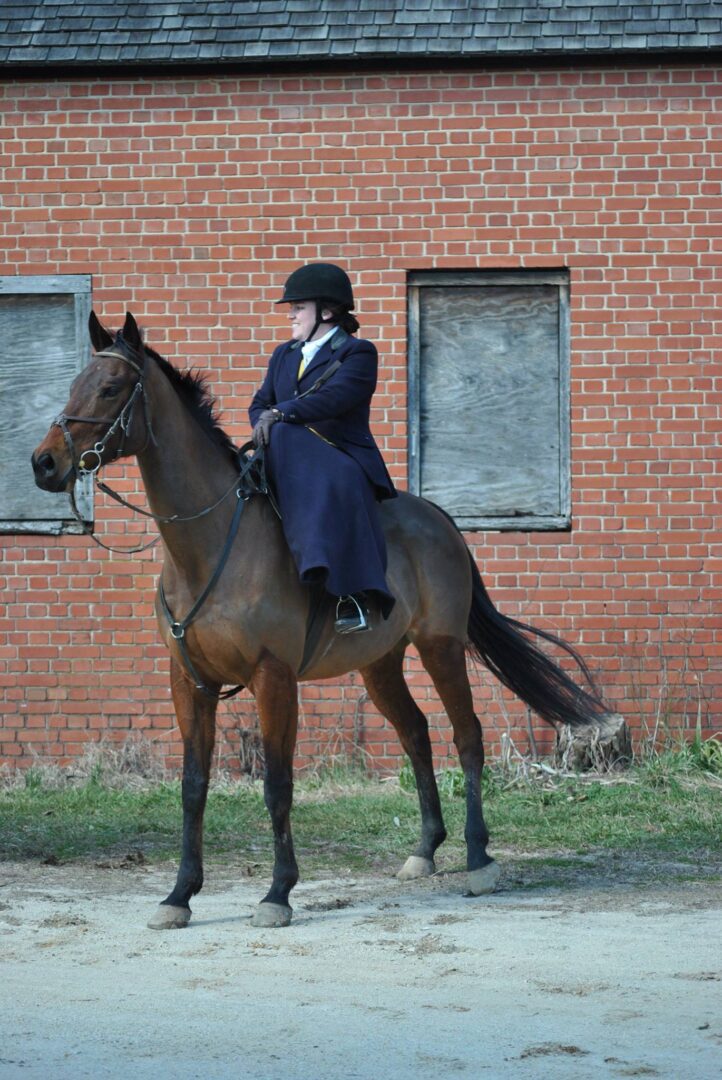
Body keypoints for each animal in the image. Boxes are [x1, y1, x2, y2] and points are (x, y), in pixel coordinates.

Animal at [33, 311, 608, 928]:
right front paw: (179, 894)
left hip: (441, 647)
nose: (44, 463)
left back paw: (479, 859)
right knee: (415, 734)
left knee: (467, 736)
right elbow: (193, 786)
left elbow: (278, 784)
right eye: (75, 382)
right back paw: (425, 851)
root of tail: (437, 517)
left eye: (111, 388)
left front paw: (277, 892)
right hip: (380, 663)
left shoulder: (273, 677)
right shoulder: (189, 681)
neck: (209, 546)